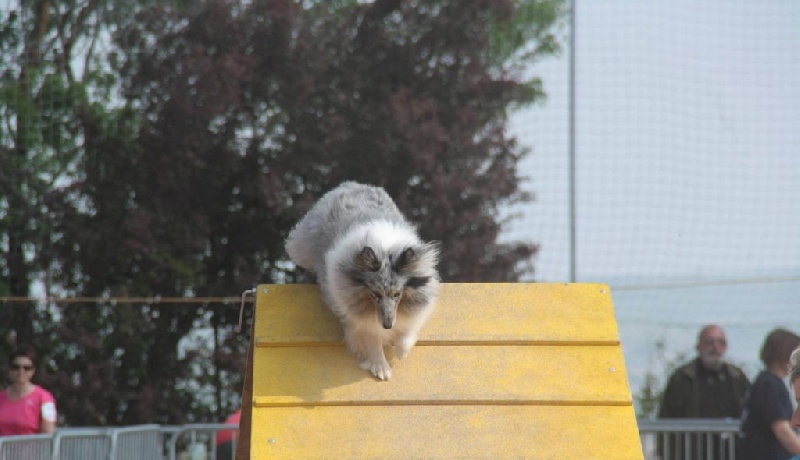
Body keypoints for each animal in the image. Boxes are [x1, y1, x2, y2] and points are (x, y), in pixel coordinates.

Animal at [284, 181, 440, 380]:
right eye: (375, 294)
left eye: (397, 294)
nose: (387, 325)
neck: (384, 249)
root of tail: (351, 184)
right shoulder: (360, 320)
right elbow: (372, 341)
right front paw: (381, 368)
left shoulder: (413, 313)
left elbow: (408, 333)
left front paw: (400, 352)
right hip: (301, 248)